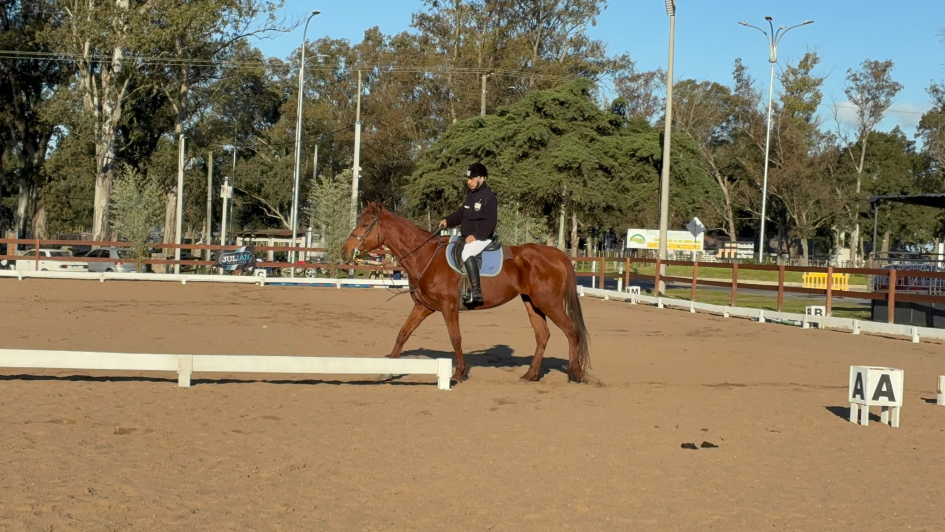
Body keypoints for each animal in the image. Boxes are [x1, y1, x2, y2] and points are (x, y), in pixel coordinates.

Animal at [341, 202, 590, 384]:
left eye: (365, 224)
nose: (344, 251)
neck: (426, 257)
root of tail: (556, 254)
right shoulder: (423, 307)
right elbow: (403, 333)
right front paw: (388, 370)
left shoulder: (448, 307)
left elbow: (455, 338)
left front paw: (458, 373)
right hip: (533, 303)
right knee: (542, 335)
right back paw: (531, 375)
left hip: (549, 303)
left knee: (572, 332)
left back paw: (574, 373)